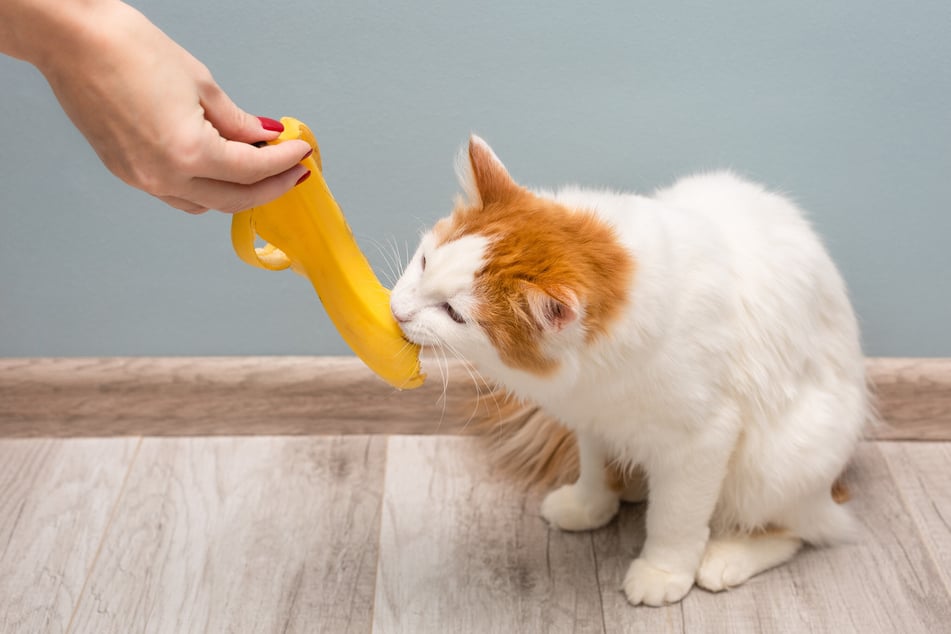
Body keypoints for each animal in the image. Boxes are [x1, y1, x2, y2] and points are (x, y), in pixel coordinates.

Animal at [390, 136, 872, 604]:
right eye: (426, 262)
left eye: (453, 313)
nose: (396, 311)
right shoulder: (593, 416)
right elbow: (595, 467)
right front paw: (589, 505)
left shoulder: (702, 439)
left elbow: (675, 517)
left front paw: (663, 572)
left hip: (779, 461)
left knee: (808, 527)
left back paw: (726, 557)